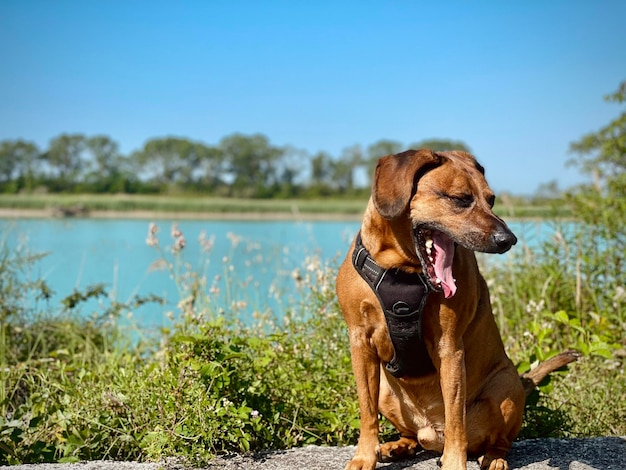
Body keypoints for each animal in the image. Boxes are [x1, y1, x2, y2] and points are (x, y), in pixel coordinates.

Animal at [336, 151, 576, 470]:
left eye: (491, 200)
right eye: (460, 199)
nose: (508, 239)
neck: (401, 268)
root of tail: (429, 433)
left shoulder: (449, 347)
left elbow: (454, 417)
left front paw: (454, 462)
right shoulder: (360, 342)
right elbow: (366, 410)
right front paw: (364, 456)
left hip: (505, 386)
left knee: (500, 439)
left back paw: (494, 457)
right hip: (387, 393)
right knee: (410, 435)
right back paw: (399, 445)